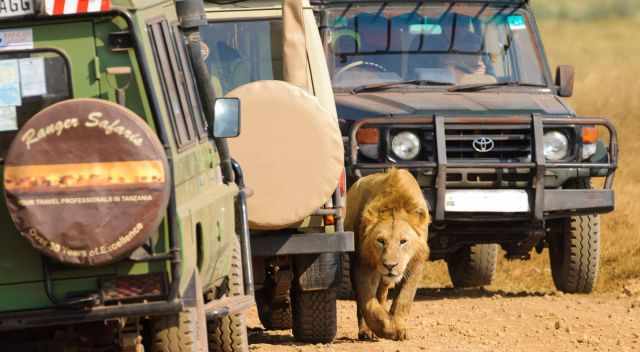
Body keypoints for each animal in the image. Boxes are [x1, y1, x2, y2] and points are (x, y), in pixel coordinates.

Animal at [344, 169, 430, 340]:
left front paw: (398, 327)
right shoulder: (362, 263)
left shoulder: (416, 262)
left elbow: (404, 298)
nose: (390, 266)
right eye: (380, 241)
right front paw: (386, 329)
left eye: (403, 241)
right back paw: (366, 331)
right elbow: (368, 303)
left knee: (382, 293)